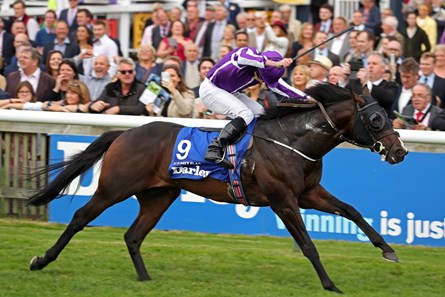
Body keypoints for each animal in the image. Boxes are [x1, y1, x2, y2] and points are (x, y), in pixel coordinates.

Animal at [26, 83, 406, 292]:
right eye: (376, 119)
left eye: (389, 116)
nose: (400, 151)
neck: (293, 140)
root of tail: (125, 133)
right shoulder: (283, 199)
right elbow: (309, 246)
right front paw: (330, 285)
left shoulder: (308, 194)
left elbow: (352, 211)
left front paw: (387, 249)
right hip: (113, 188)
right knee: (79, 217)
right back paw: (41, 261)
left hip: (159, 195)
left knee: (133, 236)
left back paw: (146, 280)